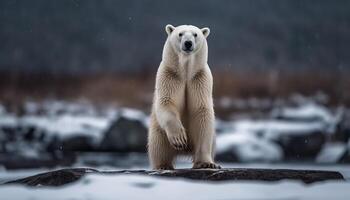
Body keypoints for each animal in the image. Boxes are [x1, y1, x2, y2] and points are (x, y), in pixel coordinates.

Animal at [148, 24, 221, 170]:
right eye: (180, 34)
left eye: (195, 34)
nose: (188, 43)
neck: (186, 73)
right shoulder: (170, 76)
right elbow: (166, 102)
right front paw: (180, 138)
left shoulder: (200, 79)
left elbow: (202, 112)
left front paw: (206, 163)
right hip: (158, 130)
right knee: (158, 144)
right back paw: (163, 165)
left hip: (214, 137)